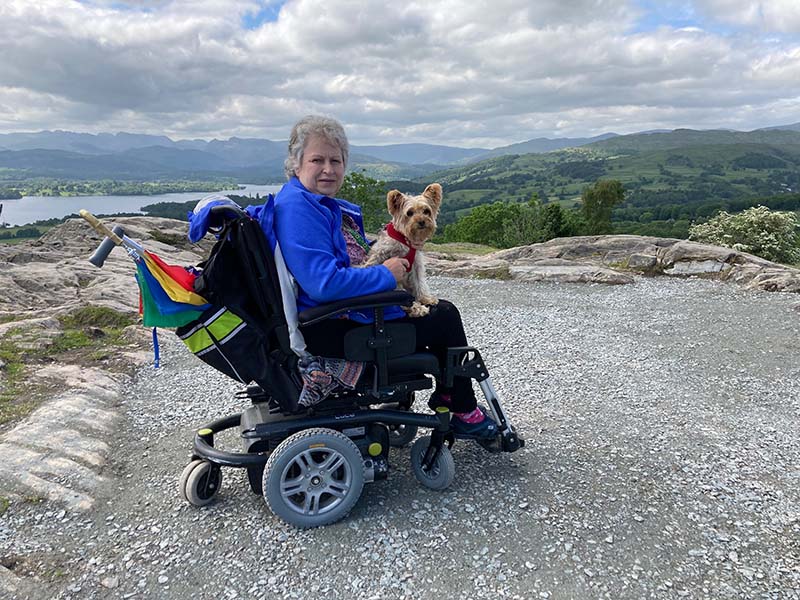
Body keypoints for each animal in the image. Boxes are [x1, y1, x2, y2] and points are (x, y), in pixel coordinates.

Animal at [364, 182, 444, 316]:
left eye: (426, 211)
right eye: (410, 213)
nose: (422, 221)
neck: (405, 239)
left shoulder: (416, 264)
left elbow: (419, 281)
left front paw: (425, 298)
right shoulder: (386, 259)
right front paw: (416, 306)